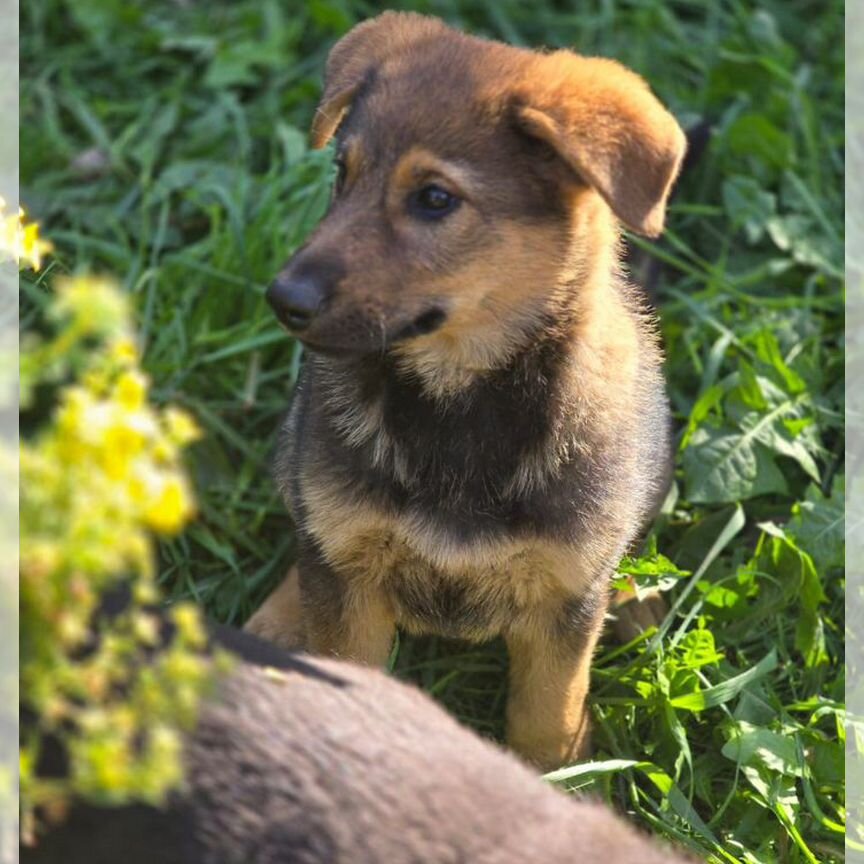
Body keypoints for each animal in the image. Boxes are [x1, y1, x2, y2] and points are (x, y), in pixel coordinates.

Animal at [246, 11, 684, 768]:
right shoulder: (351, 578)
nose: (282, 299)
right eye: (341, 175)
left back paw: (637, 599)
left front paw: (562, 781)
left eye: (434, 199)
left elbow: (546, 722)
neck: (459, 402)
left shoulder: (562, 599)